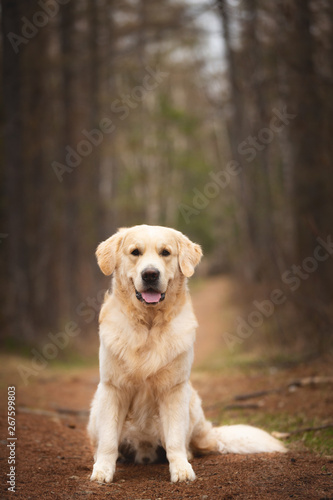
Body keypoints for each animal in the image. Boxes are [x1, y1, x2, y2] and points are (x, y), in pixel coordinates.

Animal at [88, 225, 286, 482]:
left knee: (189, 442)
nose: (150, 274)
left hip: (191, 403)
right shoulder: (112, 388)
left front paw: (181, 469)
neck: (149, 326)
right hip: (96, 408)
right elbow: (109, 440)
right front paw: (102, 470)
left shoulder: (174, 389)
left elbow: (174, 440)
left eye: (165, 252)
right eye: (135, 252)